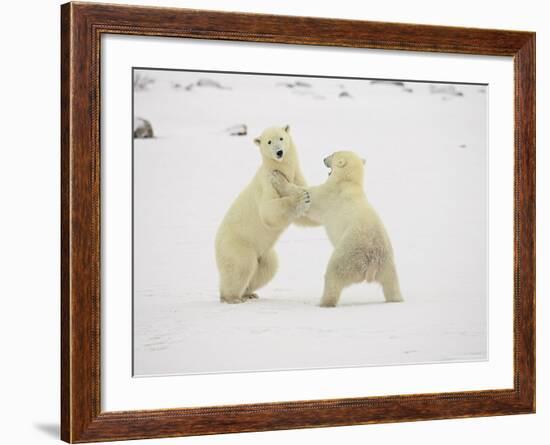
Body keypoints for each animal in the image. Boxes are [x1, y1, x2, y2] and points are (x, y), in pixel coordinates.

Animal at [217, 126, 320, 304]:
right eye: (269, 142)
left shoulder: (297, 176)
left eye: (281, 138)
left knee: (268, 267)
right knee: (242, 265)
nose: (279, 152)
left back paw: (249, 293)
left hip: (264, 253)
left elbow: (305, 217)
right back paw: (232, 297)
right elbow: (268, 211)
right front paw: (300, 198)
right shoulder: (266, 182)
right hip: (238, 244)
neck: (281, 169)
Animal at [272, 149, 406, 306]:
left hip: (349, 254)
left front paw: (277, 177)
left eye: (333, 154)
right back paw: (396, 299)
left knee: (334, 274)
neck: (348, 182)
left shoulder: (329, 194)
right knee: (391, 283)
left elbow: (309, 198)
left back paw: (323, 302)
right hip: (387, 264)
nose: (324, 158)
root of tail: (372, 260)